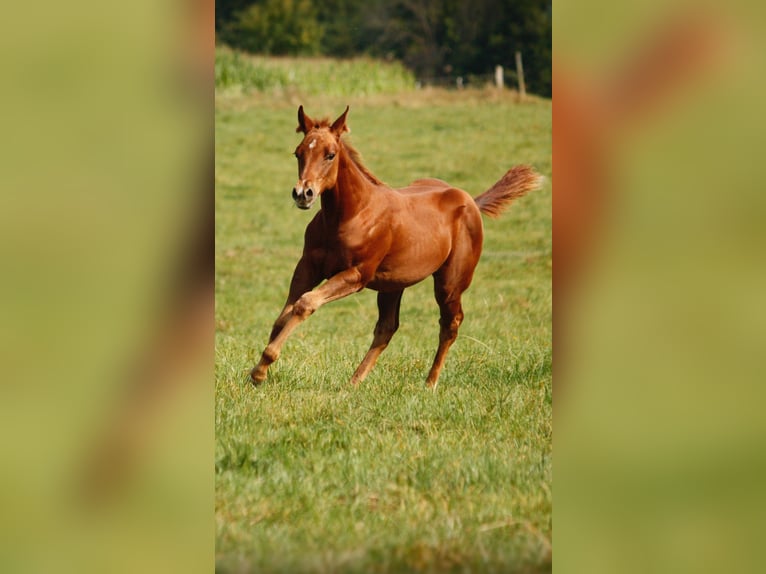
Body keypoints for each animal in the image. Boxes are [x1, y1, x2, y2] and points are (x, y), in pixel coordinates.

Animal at [250, 106, 540, 390]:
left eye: (330, 155)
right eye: (298, 153)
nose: (303, 194)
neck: (350, 214)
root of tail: (471, 201)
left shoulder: (357, 275)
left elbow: (305, 304)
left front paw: (261, 370)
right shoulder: (307, 267)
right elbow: (284, 315)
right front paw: (258, 370)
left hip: (450, 283)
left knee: (450, 323)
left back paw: (430, 383)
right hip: (393, 284)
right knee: (387, 327)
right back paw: (353, 383)